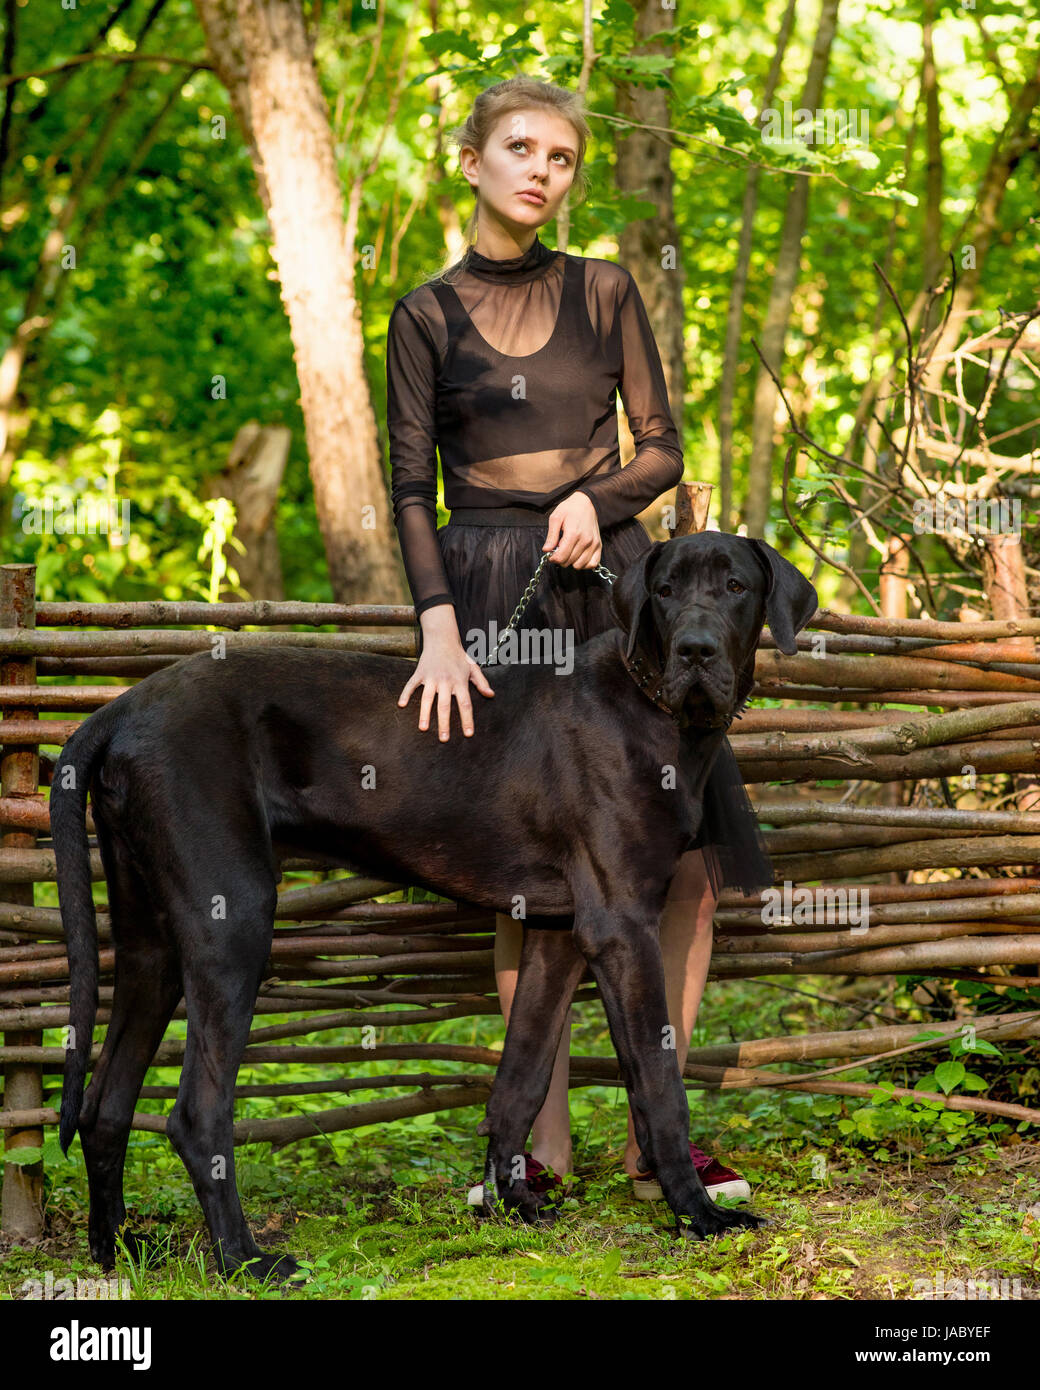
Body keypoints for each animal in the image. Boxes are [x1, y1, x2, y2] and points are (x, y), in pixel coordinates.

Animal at [52, 530, 823, 1278]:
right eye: (664, 591)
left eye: (735, 587)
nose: (695, 649)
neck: (648, 701)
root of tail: (118, 708)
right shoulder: (622, 926)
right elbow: (659, 1083)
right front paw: (696, 1213)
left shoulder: (556, 930)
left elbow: (521, 1076)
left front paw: (513, 1203)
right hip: (232, 923)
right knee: (195, 1113)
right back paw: (244, 1259)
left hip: (150, 940)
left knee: (106, 1103)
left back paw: (119, 1251)